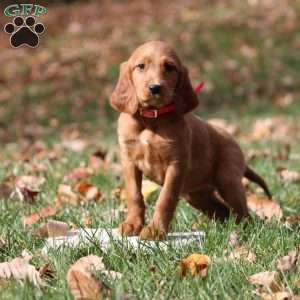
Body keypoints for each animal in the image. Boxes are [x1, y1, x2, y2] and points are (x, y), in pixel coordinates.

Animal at [109, 41, 270, 240]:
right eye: (141, 66)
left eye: (169, 67)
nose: (155, 88)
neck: (152, 118)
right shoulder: (129, 161)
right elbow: (134, 194)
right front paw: (132, 224)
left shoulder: (176, 165)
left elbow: (166, 199)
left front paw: (155, 230)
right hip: (196, 194)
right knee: (223, 211)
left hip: (228, 181)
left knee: (242, 212)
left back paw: (245, 231)